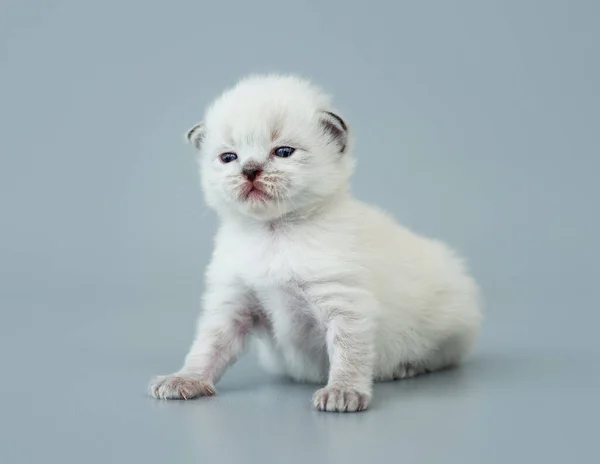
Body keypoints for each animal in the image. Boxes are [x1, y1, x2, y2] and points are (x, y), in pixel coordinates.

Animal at [149, 74, 482, 412]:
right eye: (229, 157)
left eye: (283, 152)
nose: (250, 170)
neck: (273, 233)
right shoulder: (233, 305)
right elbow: (208, 347)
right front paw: (185, 379)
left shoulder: (343, 301)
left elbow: (348, 352)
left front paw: (343, 392)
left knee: (442, 353)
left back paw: (406, 367)